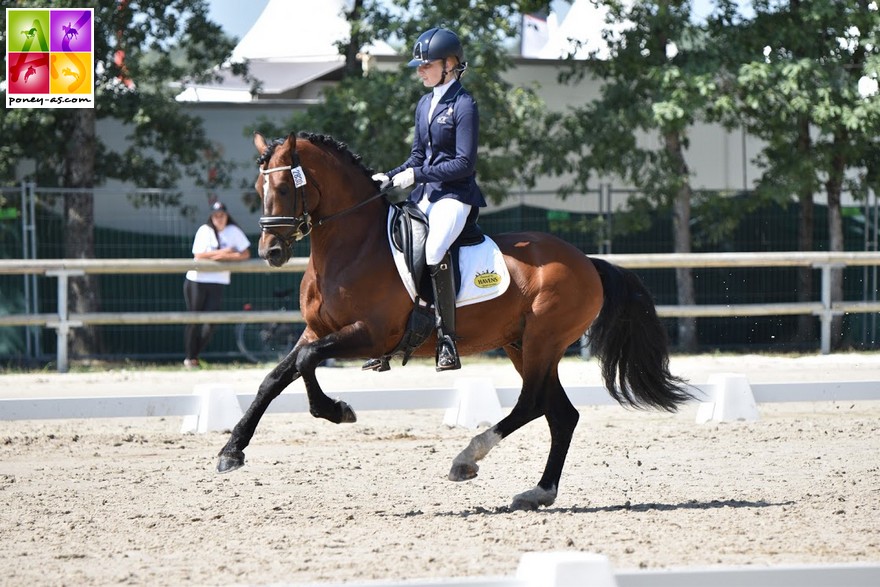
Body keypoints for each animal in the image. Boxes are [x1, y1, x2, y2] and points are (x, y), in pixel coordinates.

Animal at [215, 132, 696, 510]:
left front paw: (336, 410)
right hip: (522, 345)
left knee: (533, 404)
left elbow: (307, 362)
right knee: (561, 414)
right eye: (259, 186)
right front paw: (231, 451)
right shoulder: (318, 330)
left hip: (542, 341)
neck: (351, 247)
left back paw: (467, 460)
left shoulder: (371, 334)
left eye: (284, 185)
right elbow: (279, 376)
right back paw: (538, 492)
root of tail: (587, 262)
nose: (271, 251)